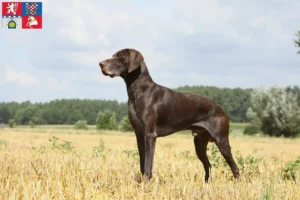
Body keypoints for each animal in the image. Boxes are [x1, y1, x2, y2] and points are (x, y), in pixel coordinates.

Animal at [99, 48, 240, 183]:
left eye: (119, 57)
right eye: (113, 55)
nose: (100, 64)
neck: (138, 91)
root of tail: (221, 109)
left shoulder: (150, 134)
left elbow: (148, 163)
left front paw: (146, 183)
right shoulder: (139, 134)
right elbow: (142, 163)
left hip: (221, 140)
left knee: (234, 167)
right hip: (199, 142)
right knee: (208, 165)